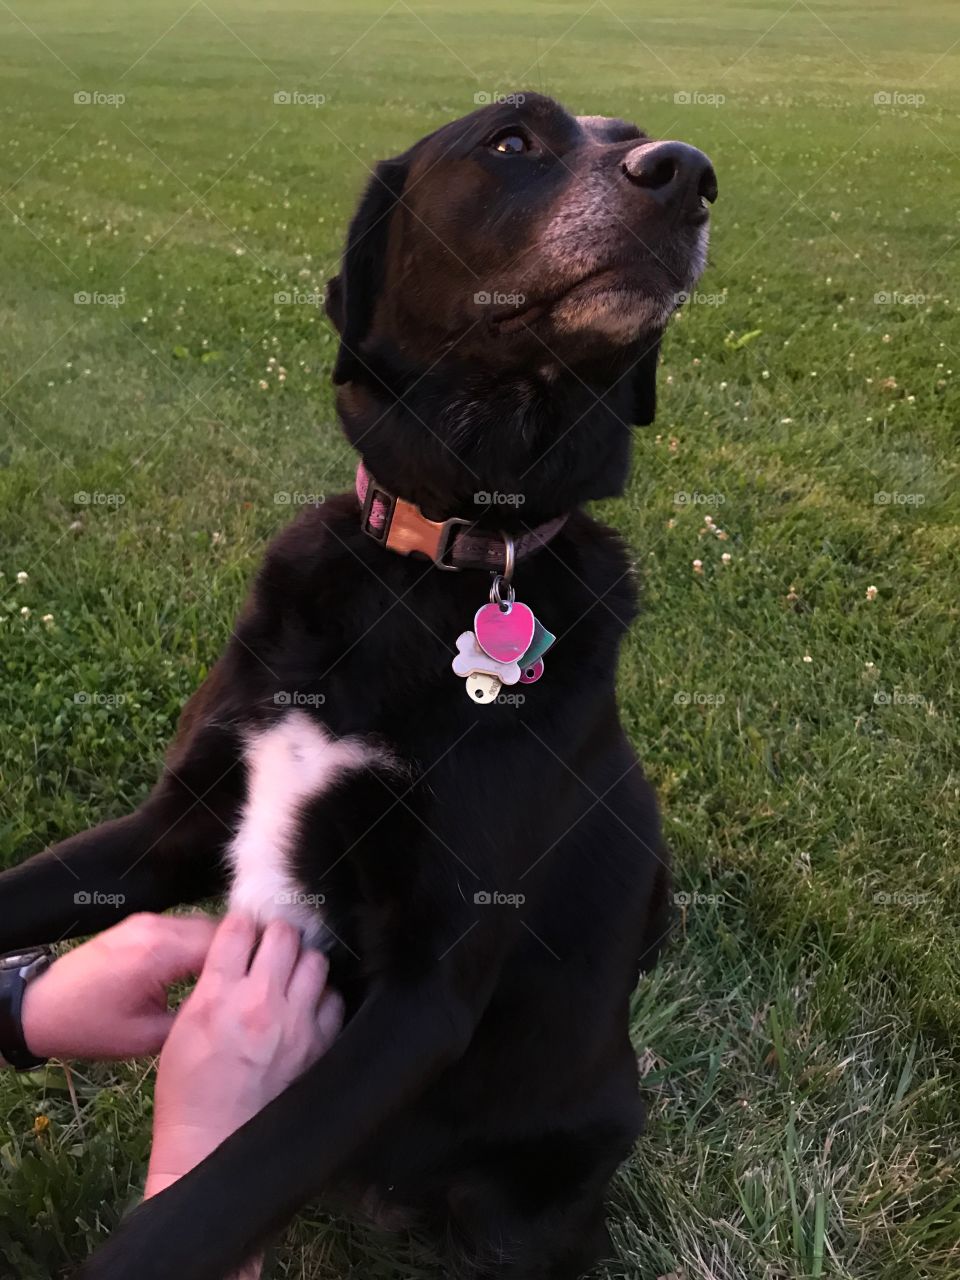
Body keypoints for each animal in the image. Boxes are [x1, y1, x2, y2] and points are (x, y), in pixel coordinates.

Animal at [0, 94, 716, 1274]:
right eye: (512, 139)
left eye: (647, 138)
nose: (691, 175)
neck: (438, 563)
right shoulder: (174, 827)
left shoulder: (426, 991)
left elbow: (219, 1189)